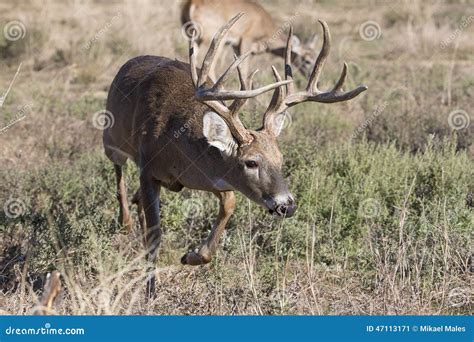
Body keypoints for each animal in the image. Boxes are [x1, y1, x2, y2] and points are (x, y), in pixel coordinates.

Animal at [103, 12, 366, 296]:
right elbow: (155, 235)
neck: (177, 143)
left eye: (281, 159)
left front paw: (192, 256)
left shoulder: (215, 177)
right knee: (119, 173)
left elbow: (229, 204)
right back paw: (125, 222)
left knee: (137, 197)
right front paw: (150, 291)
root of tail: (129, 62)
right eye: (251, 162)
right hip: (111, 139)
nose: (287, 205)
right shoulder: (149, 168)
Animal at [181, 0, 318, 79]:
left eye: (316, 56)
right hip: (214, 36)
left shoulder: (236, 46)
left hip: (192, 36)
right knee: (208, 65)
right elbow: (245, 71)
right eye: (307, 60)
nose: (311, 76)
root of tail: (192, 4)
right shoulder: (246, 39)